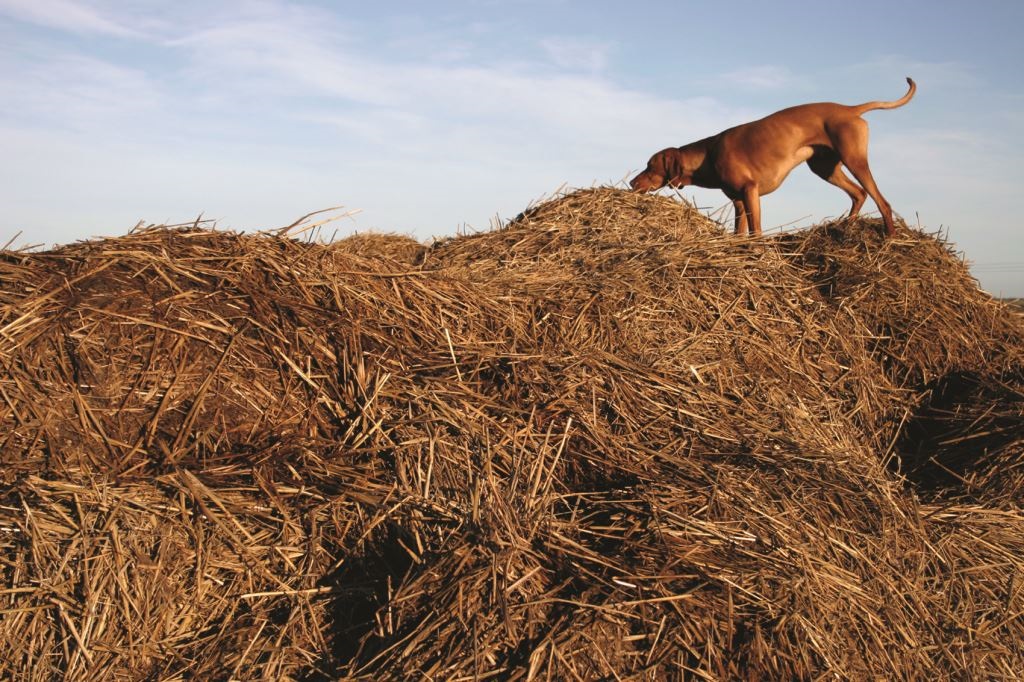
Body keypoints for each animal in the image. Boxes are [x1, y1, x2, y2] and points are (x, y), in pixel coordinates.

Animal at [626, 76, 917, 235]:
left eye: (650, 165)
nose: (631, 182)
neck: (707, 155)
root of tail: (850, 109)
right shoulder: (739, 202)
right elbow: (739, 233)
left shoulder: (750, 191)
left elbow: (756, 232)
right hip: (824, 168)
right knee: (859, 194)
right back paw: (843, 227)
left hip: (854, 160)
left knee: (881, 201)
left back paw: (890, 237)